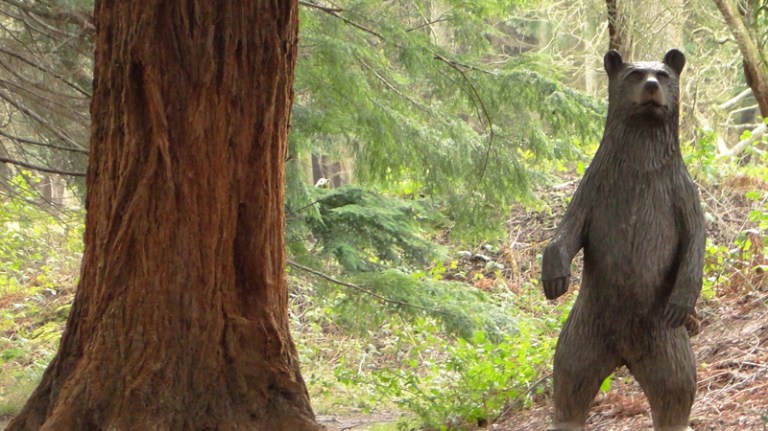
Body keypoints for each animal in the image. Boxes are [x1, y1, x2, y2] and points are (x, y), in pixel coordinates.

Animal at [541, 49, 705, 431]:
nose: (651, 86)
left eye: (663, 75)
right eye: (634, 75)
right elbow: (568, 230)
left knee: (676, 383)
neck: (639, 165)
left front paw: (683, 298)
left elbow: (694, 238)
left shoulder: (677, 191)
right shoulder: (596, 187)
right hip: (586, 327)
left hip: (662, 338)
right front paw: (554, 276)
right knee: (570, 374)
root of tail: (623, 355)